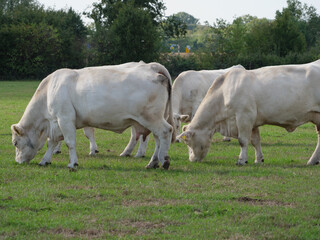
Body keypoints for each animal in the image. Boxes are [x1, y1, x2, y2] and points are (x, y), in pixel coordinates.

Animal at [11, 62, 175, 170]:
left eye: (15, 143)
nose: (17, 161)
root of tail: (154, 68)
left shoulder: (65, 118)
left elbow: (70, 142)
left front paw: (72, 163)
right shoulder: (56, 123)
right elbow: (51, 142)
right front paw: (45, 160)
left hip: (151, 117)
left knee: (165, 132)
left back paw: (164, 161)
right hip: (151, 119)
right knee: (157, 138)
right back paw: (153, 162)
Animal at [178, 59, 320, 165]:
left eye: (188, 142)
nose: (191, 159)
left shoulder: (244, 116)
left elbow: (243, 140)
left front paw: (241, 160)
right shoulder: (253, 121)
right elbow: (255, 140)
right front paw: (259, 159)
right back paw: (313, 160)